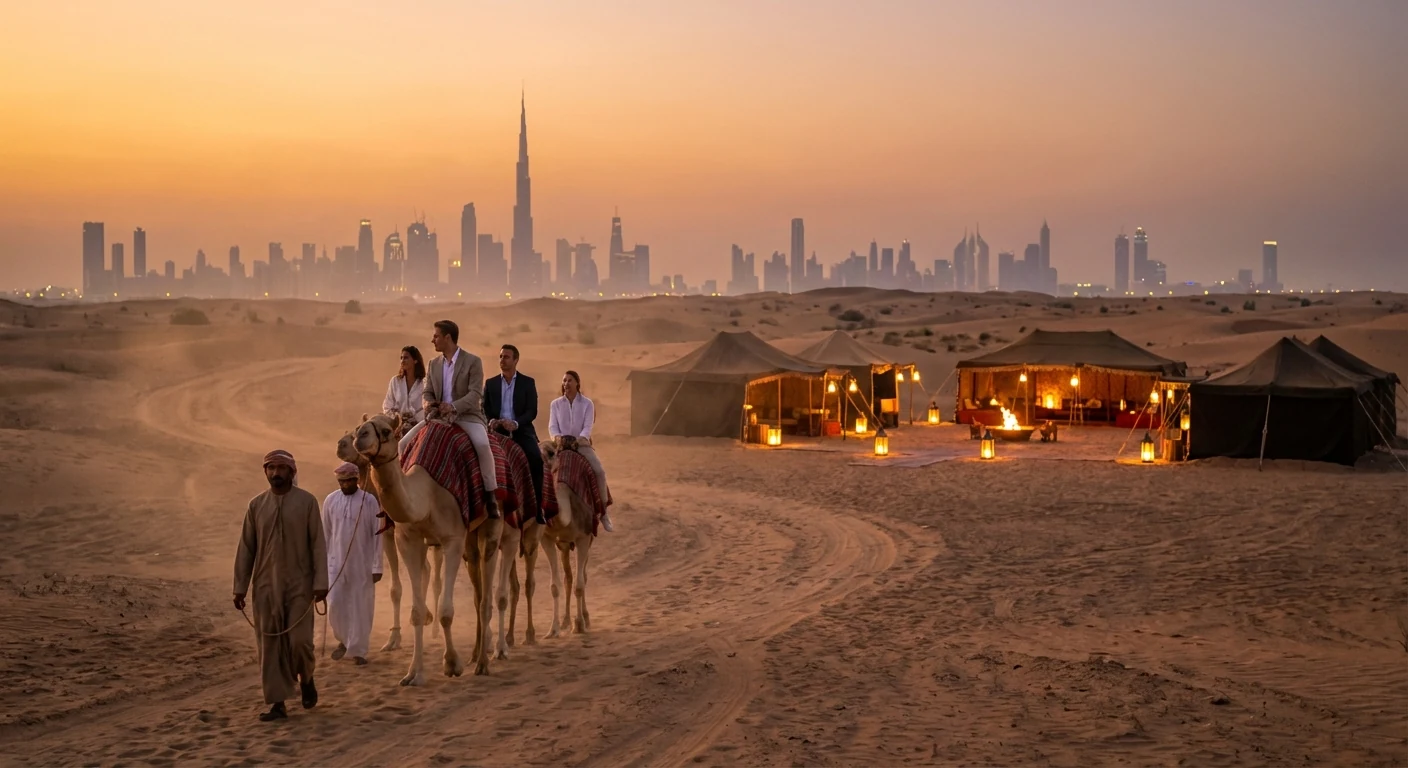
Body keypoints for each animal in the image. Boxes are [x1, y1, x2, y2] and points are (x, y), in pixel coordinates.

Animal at [335, 430, 444, 651]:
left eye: (355, 434)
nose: (340, 445)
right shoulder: (387, 531)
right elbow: (395, 589)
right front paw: (394, 637)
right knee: (428, 570)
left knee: (438, 577)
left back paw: (437, 628)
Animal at [352, 413, 505, 683]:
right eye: (360, 427)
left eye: (385, 431)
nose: (359, 437)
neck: (427, 496)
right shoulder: (408, 541)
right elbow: (416, 612)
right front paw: (413, 673)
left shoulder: (452, 539)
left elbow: (445, 611)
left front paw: (452, 664)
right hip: (470, 538)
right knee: (477, 591)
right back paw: (476, 654)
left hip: (492, 525)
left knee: (486, 596)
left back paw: (483, 663)